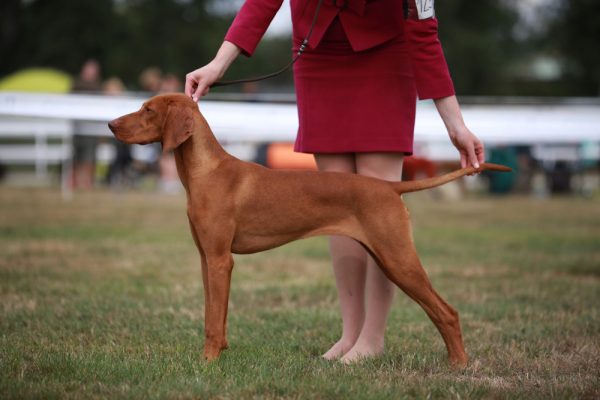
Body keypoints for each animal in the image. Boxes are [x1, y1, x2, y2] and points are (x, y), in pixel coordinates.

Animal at [109, 94, 510, 366]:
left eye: (148, 109)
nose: (111, 124)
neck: (207, 171)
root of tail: (389, 187)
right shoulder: (208, 258)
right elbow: (214, 313)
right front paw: (217, 353)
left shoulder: (221, 260)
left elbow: (212, 318)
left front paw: (208, 363)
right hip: (385, 256)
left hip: (399, 259)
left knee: (446, 311)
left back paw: (459, 365)